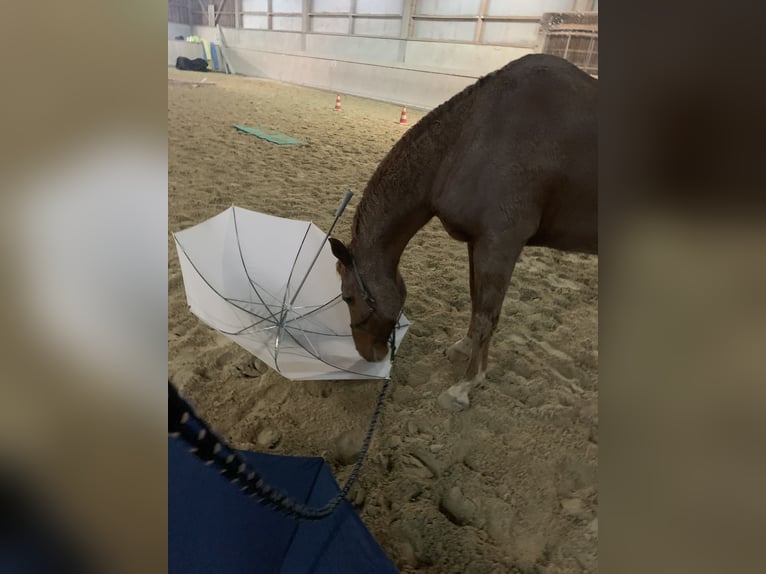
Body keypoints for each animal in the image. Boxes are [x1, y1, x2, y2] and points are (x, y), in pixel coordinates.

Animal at [329, 54, 597, 411]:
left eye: (348, 296)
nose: (368, 354)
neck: (471, 139)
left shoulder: (500, 245)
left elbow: (487, 314)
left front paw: (466, 385)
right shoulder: (478, 243)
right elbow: (476, 301)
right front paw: (464, 350)